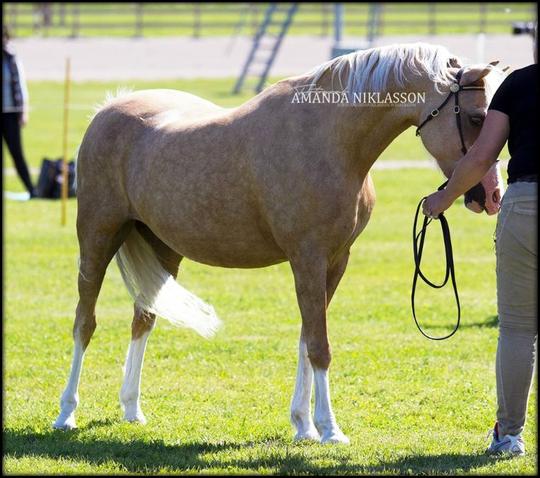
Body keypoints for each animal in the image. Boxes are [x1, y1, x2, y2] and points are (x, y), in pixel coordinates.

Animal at [54, 43, 506, 442]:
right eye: (476, 117)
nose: (490, 195)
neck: (329, 139)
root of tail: (108, 110)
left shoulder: (335, 261)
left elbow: (307, 339)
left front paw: (303, 425)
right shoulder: (307, 258)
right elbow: (319, 345)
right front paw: (329, 430)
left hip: (163, 248)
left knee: (143, 319)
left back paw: (131, 408)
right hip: (97, 238)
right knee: (84, 323)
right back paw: (66, 414)